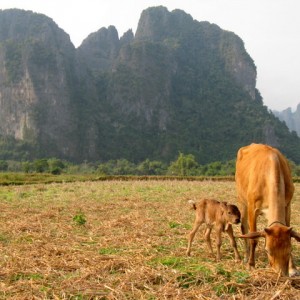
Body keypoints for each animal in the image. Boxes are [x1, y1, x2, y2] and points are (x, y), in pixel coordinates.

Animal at [236, 143, 298, 276]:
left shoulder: (288, 205)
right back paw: (246, 257)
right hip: (242, 200)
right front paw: (251, 265)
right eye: (268, 251)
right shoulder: (252, 208)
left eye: (289, 249)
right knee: (244, 227)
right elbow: (253, 238)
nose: (281, 274)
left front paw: (293, 268)